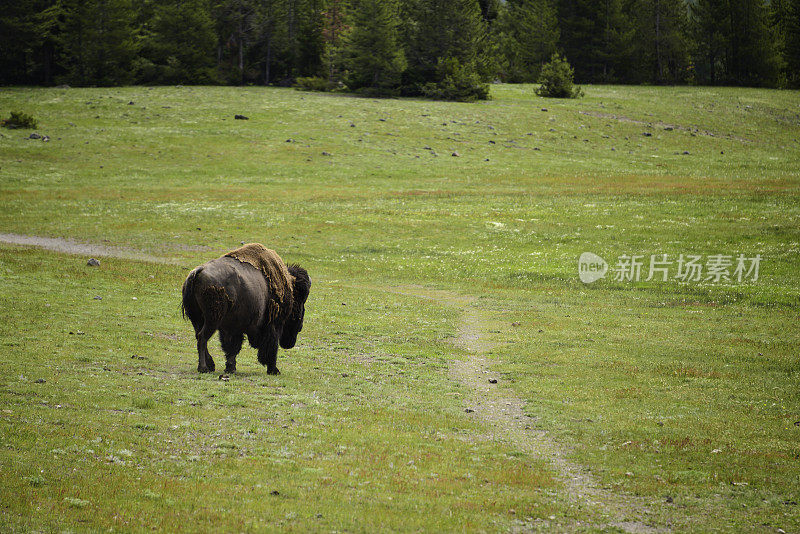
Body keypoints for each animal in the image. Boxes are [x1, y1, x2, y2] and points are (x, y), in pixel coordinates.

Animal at [181, 245, 310, 374]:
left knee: (199, 336)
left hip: (197, 319)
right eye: (301, 300)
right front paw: (274, 370)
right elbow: (271, 348)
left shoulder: (232, 327)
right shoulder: (273, 325)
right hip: (212, 319)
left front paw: (230, 368)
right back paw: (203, 368)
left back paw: (211, 365)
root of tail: (198, 272)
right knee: (202, 338)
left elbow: (232, 348)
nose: (300, 326)